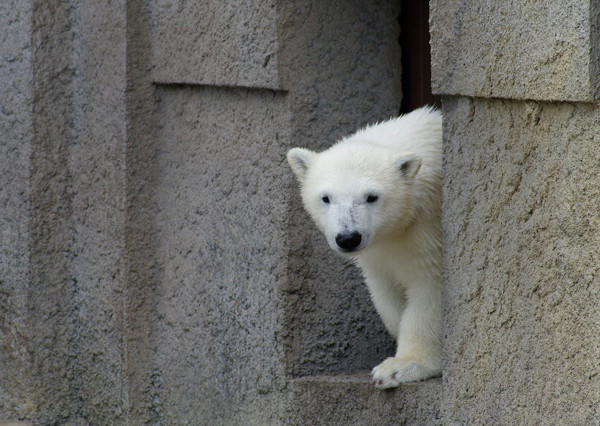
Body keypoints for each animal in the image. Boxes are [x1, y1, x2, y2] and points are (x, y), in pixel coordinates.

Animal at [286, 105, 440, 388]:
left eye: (372, 197)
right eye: (326, 198)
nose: (348, 238)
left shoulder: (430, 229)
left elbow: (429, 288)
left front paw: (399, 367)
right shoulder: (380, 249)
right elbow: (384, 287)